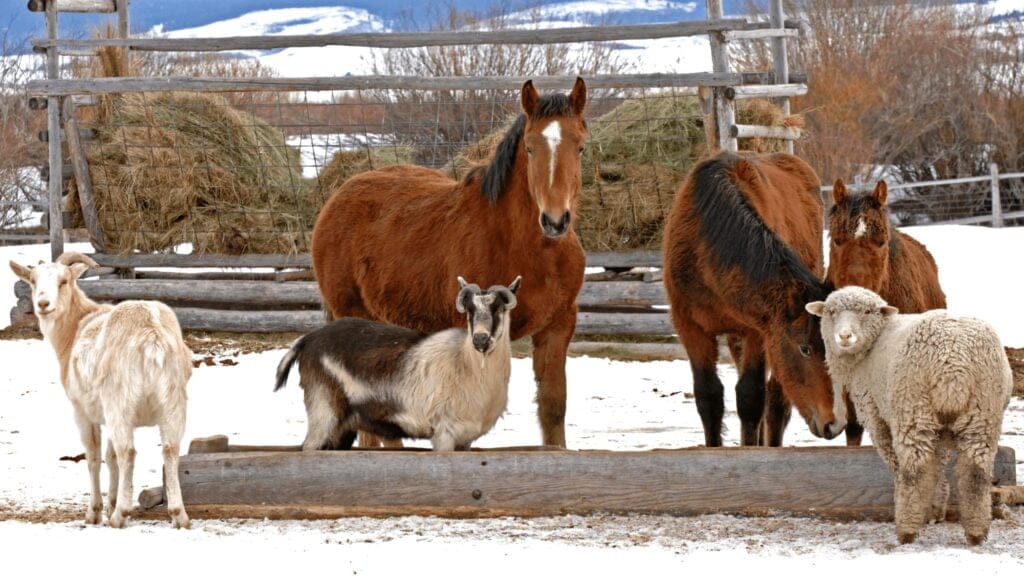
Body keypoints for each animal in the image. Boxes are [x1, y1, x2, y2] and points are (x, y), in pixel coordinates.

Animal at [9, 253, 192, 529]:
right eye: (32, 281)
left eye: (63, 281)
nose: (43, 304)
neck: (74, 329)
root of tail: (153, 338)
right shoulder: (106, 413)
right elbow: (110, 456)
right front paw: (110, 504)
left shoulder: (82, 411)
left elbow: (94, 456)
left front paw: (95, 512)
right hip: (172, 401)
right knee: (170, 449)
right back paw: (178, 515)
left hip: (120, 402)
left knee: (128, 451)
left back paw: (120, 516)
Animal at [275, 276, 520, 452]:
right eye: (469, 310)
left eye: (498, 308)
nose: (480, 340)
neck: (466, 363)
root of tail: (307, 340)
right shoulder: (444, 433)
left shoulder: (465, 440)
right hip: (323, 410)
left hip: (342, 427)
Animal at [310, 78, 588, 448]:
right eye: (530, 148)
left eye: (581, 147)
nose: (555, 221)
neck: (525, 249)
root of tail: (336, 199)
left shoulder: (558, 327)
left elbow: (553, 408)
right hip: (353, 316)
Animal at [662, 151, 840, 447]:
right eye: (805, 348)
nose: (834, 424)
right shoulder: (689, 326)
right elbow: (708, 397)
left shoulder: (760, 330)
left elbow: (750, 398)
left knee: (776, 403)